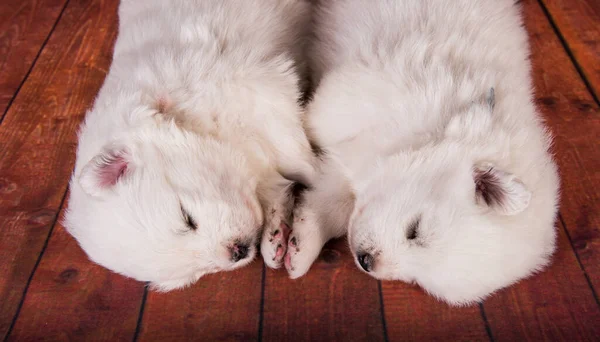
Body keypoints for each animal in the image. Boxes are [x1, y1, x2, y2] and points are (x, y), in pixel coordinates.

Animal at [65, 0, 316, 292]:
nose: (238, 252)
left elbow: (300, 158)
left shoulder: (261, 92)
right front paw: (274, 240)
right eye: (194, 274)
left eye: (187, 218)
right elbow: (276, 188)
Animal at [288, 0, 560, 304]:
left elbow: (329, 207)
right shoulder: (362, 88)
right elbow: (315, 120)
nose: (366, 261)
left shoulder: (352, 170)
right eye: (415, 230)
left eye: (418, 280)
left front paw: (299, 251)